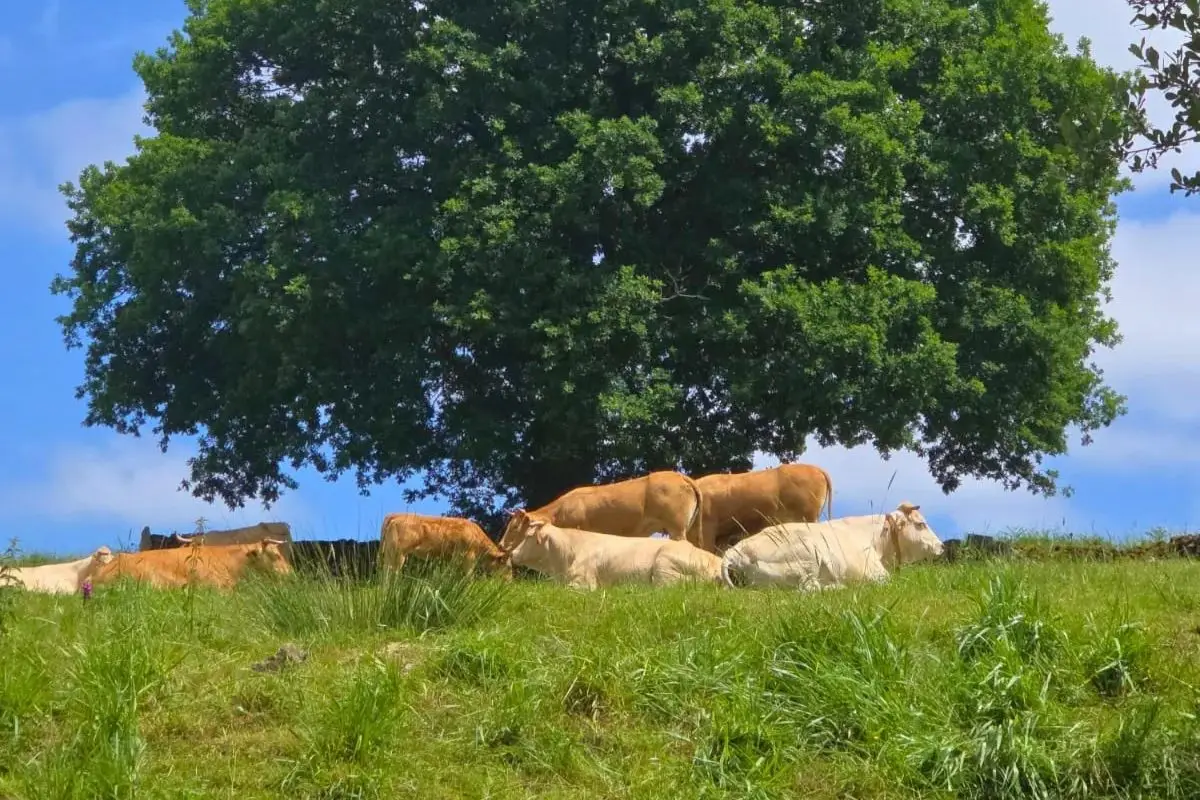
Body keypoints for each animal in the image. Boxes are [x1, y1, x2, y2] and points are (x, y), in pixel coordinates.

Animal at [379, 513, 512, 579]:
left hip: (390, 553)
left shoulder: (454, 558)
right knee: (393, 572)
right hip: (399, 553)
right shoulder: (468, 557)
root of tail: (395, 516)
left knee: (386, 572)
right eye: (509, 567)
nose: (510, 582)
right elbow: (469, 576)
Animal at [719, 501, 943, 591]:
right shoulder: (875, 575)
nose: (941, 546)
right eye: (921, 524)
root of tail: (735, 551)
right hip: (807, 560)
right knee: (809, 589)